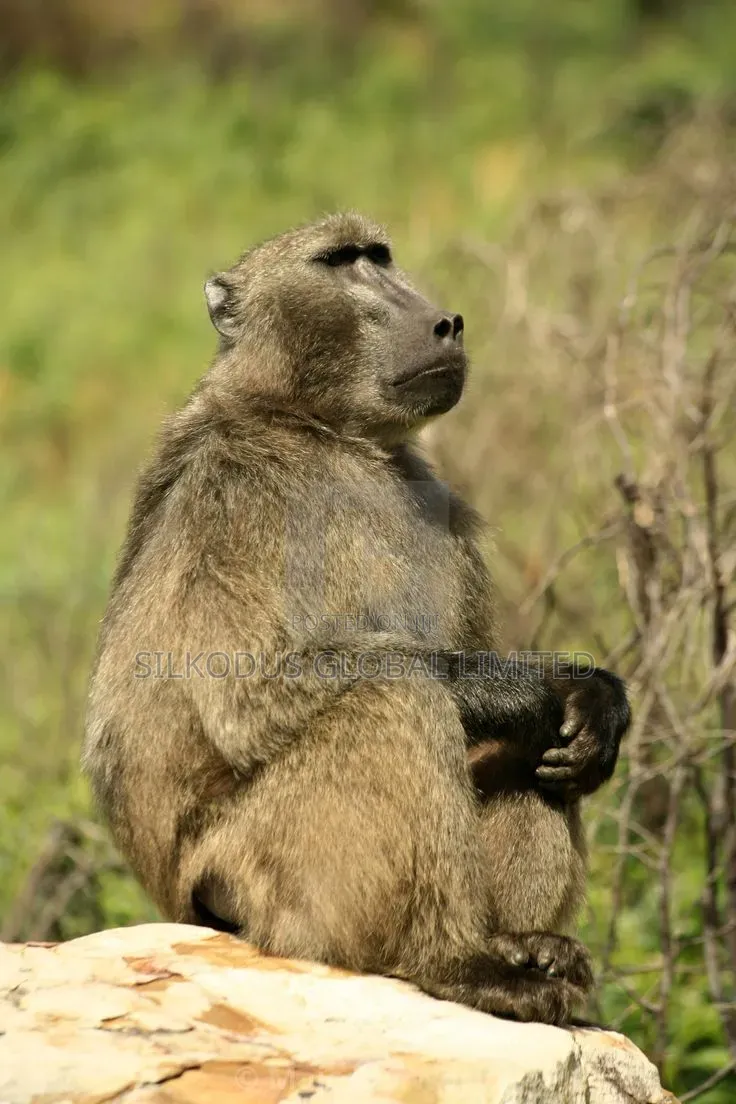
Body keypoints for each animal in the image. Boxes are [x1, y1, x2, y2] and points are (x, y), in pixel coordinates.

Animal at [83, 212, 630, 1026]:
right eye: (340, 262)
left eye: (381, 256)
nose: (445, 322)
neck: (326, 431)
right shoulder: (233, 501)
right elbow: (248, 689)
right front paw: (532, 687)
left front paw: (589, 694)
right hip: (254, 886)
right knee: (391, 702)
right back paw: (458, 963)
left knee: (525, 758)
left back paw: (524, 943)